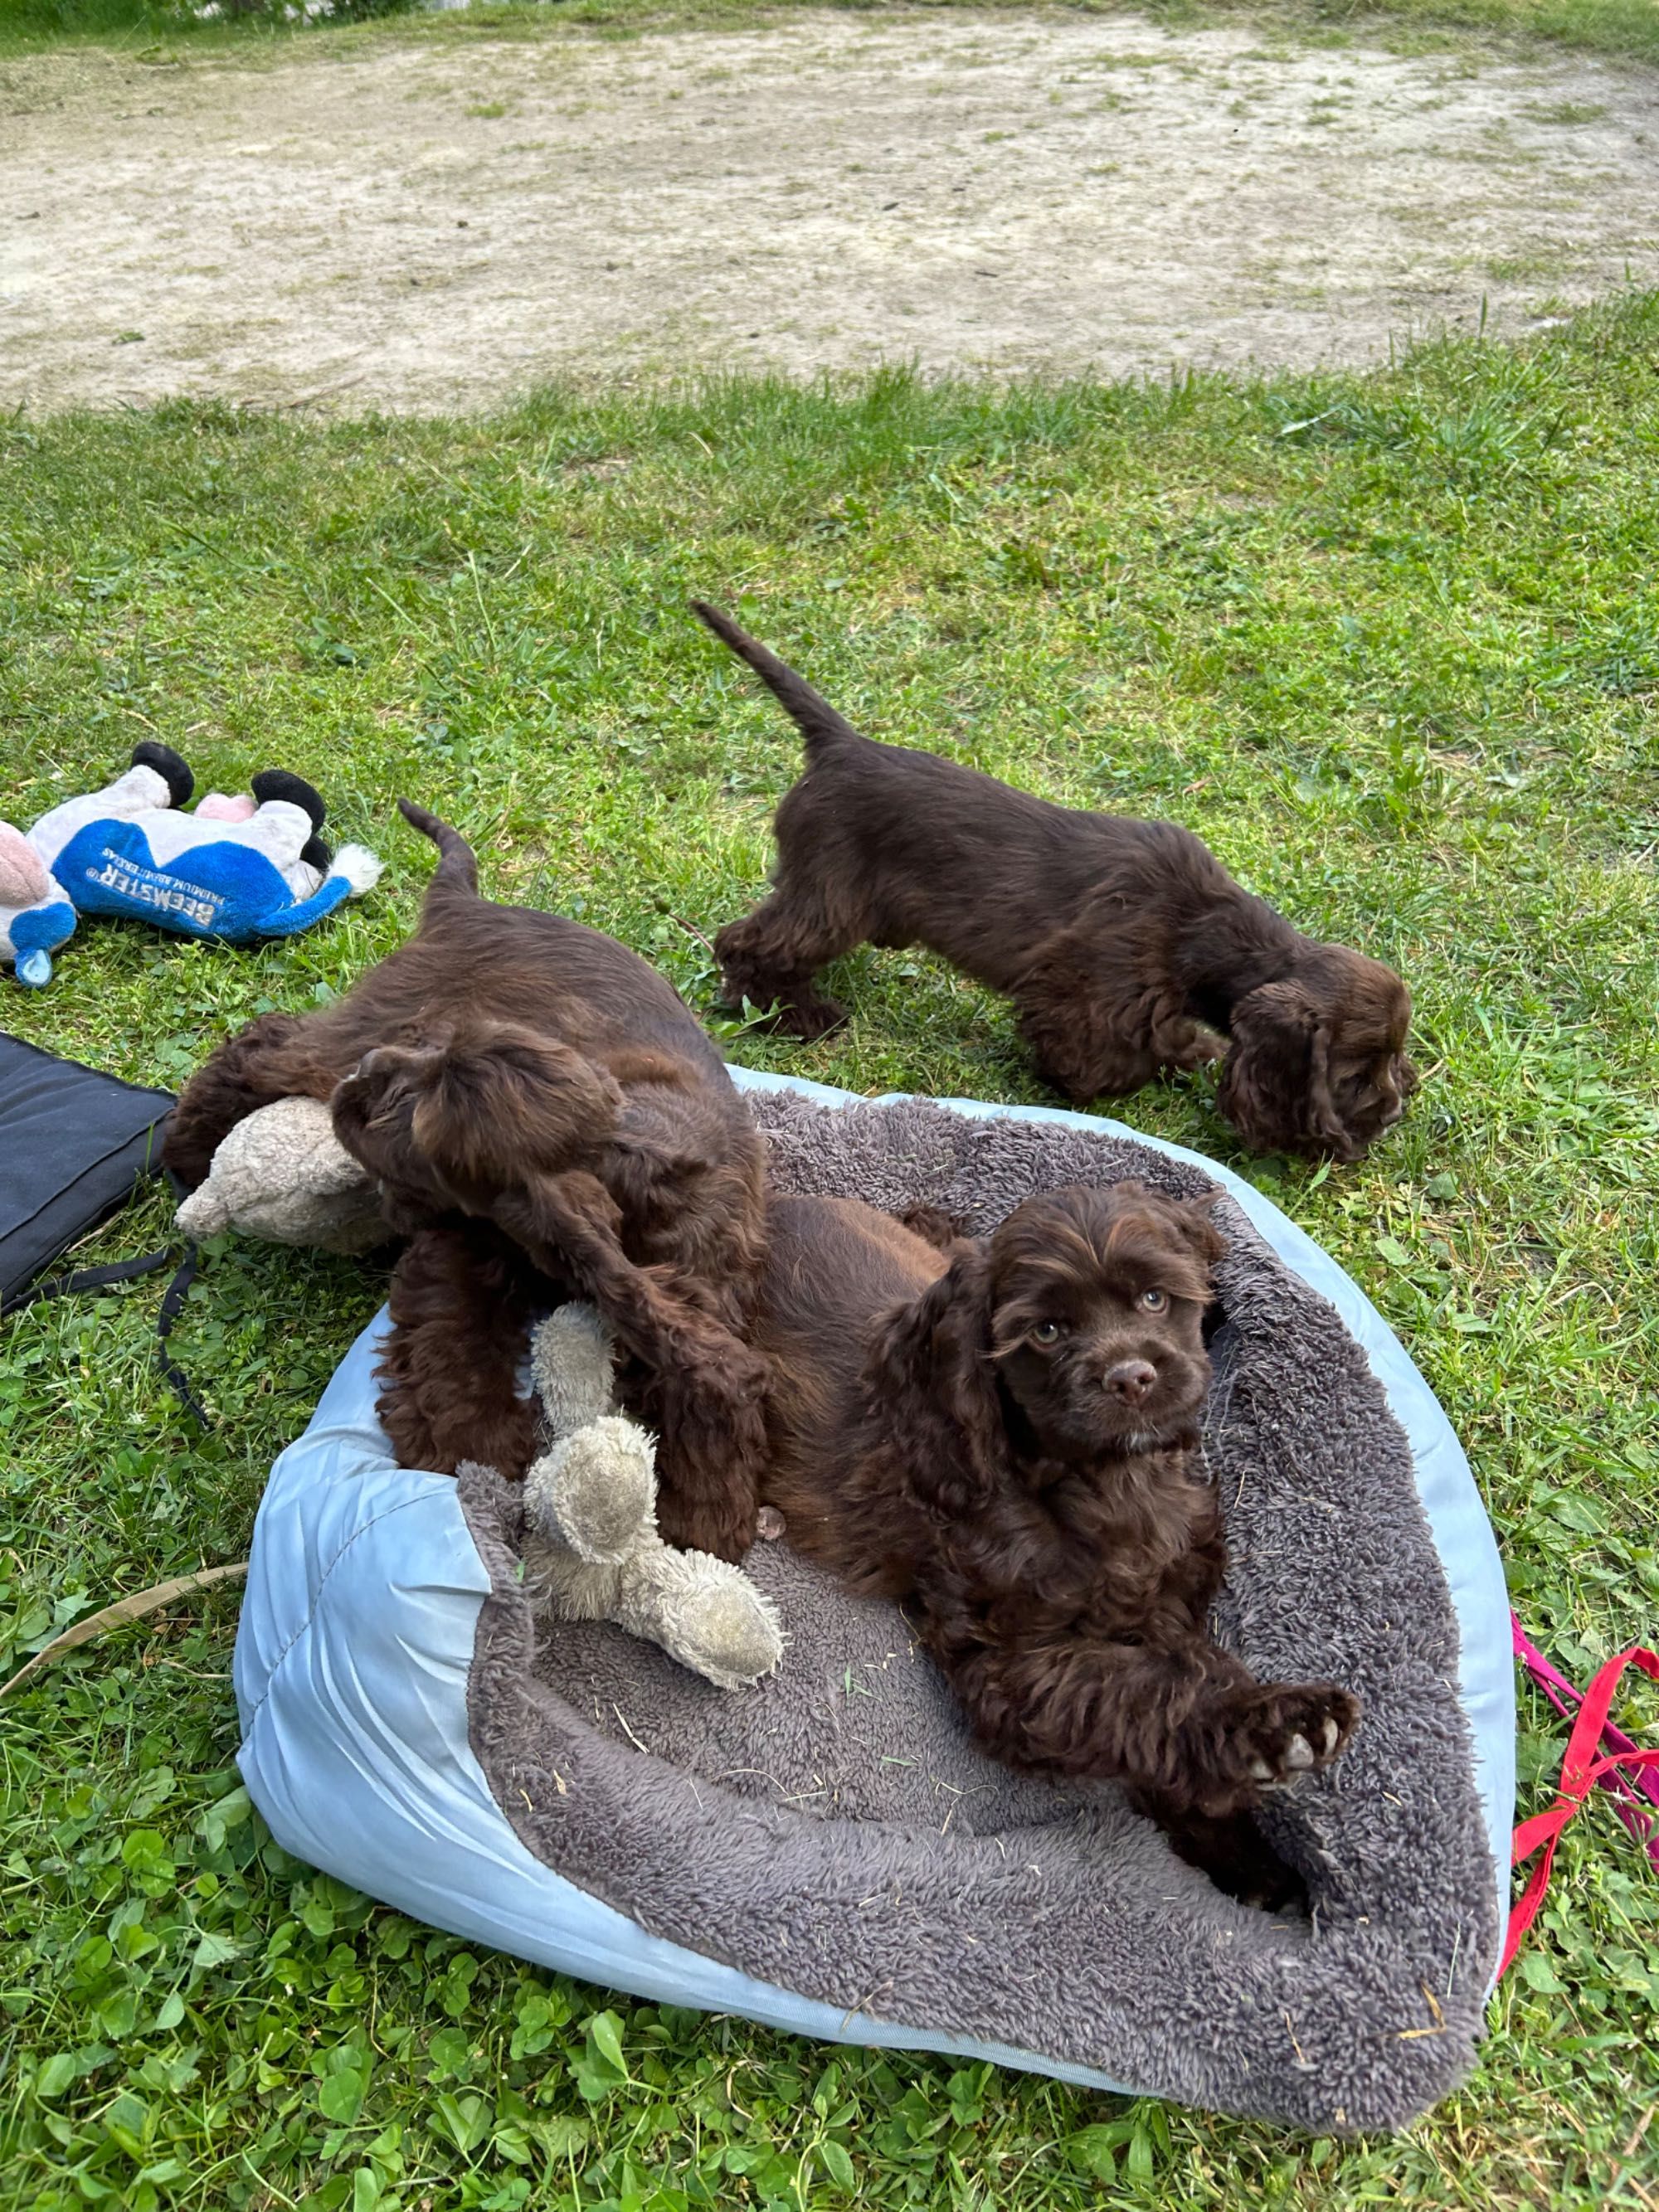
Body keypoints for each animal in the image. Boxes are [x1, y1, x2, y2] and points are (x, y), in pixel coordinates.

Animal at [694, 605, 1424, 1159]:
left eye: (1391, 1058)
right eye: (1353, 1074)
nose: (1394, 1114)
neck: (1201, 928)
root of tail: (839, 743)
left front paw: (1192, 1050)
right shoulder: (1085, 990)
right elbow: (1106, 1059)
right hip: (830, 899)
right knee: (747, 942)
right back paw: (791, 1013)